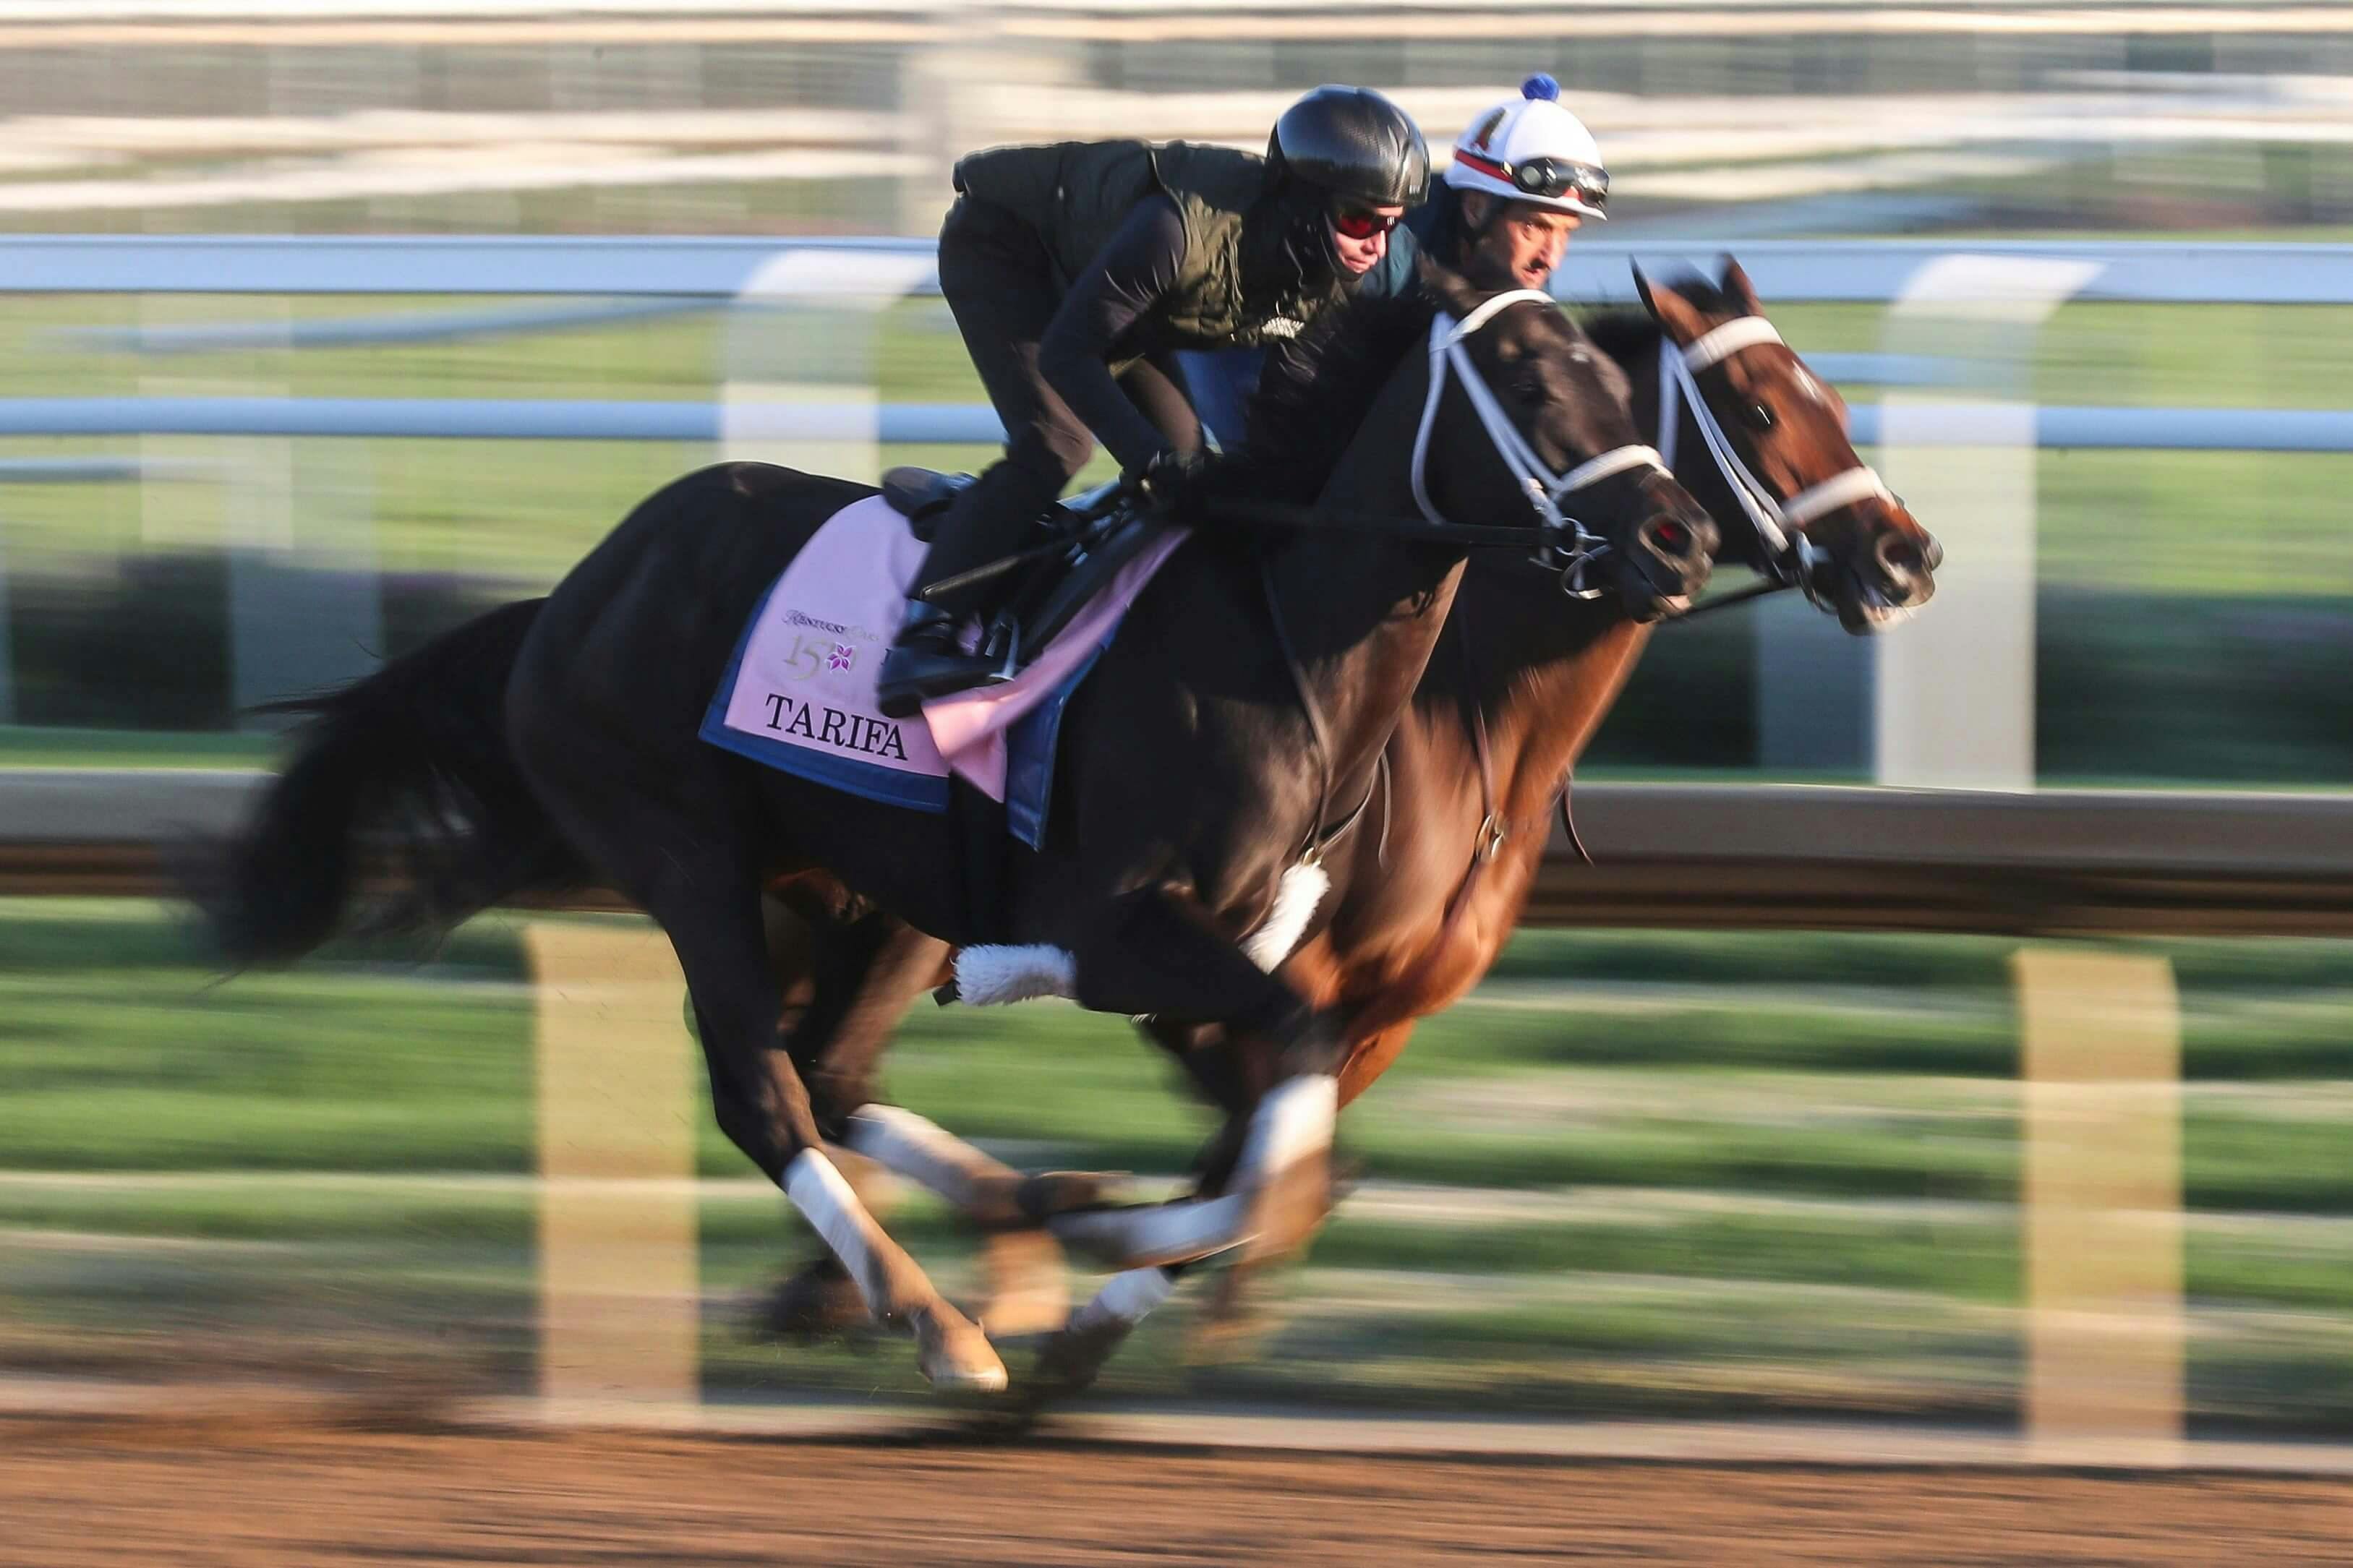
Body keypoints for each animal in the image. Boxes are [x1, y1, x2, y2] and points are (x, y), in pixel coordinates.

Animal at [202, 263, 1712, 1392]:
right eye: (1532, 385)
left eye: (1615, 383)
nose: (1680, 538)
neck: (1279, 635)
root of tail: (574, 589)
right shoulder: (1120, 931)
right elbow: (1283, 1109)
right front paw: (1132, 1256)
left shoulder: (1242, 949)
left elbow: (1292, 1115)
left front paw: (1113, 1239)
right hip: (681, 848)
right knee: (765, 1091)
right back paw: (943, 1318)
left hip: (849, 886)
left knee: (829, 1070)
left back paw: (1011, 1225)